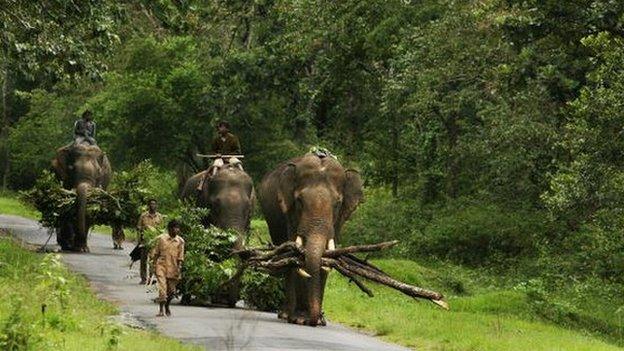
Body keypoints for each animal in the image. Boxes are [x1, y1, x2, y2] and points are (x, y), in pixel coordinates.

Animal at [258, 154, 366, 328]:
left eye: (337, 203)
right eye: (299, 201)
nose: (316, 319)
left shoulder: (338, 221)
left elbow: (327, 256)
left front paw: (317, 320)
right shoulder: (290, 214)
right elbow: (296, 255)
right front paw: (300, 319)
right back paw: (285, 314)